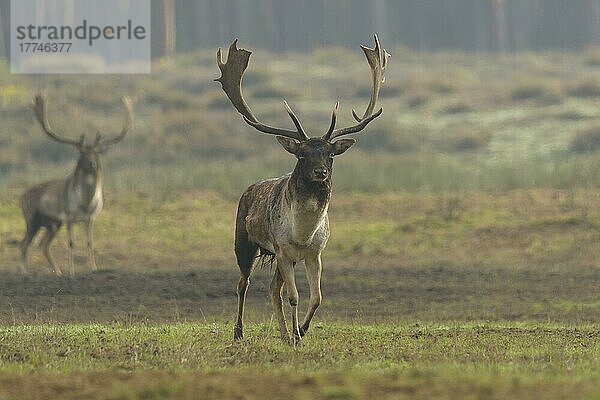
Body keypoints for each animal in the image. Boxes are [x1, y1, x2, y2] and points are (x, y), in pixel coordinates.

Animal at [19, 93, 132, 276]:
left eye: (97, 153)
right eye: (82, 153)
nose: (92, 164)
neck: (85, 204)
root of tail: (21, 197)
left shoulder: (91, 218)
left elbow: (90, 242)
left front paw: (93, 268)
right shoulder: (69, 217)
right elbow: (71, 243)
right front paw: (72, 271)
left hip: (52, 224)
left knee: (43, 245)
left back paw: (57, 272)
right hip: (32, 217)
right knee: (24, 244)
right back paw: (25, 272)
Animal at [216, 36, 390, 346]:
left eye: (330, 154)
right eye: (302, 154)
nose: (320, 172)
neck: (302, 233)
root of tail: (248, 189)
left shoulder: (314, 252)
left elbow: (317, 297)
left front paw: (302, 331)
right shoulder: (283, 249)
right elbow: (294, 297)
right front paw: (298, 333)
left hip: (280, 258)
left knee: (272, 289)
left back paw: (285, 334)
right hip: (244, 242)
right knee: (243, 283)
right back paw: (239, 332)